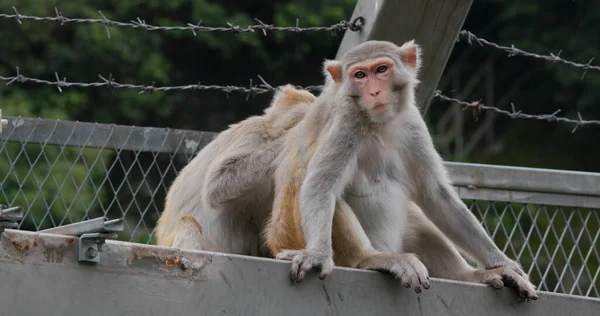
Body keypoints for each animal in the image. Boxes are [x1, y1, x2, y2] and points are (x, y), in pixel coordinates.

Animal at [264, 39, 536, 302]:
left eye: (381, 70)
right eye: (360, 75)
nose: (374, 91)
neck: (378, 122)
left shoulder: (412, 122)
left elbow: (434, 194)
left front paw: (502, 262)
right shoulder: (346, 122)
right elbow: (321, 184)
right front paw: (318, 254)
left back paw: (470, 276)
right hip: (292, 233)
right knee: (309, 181)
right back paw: (371, 259)